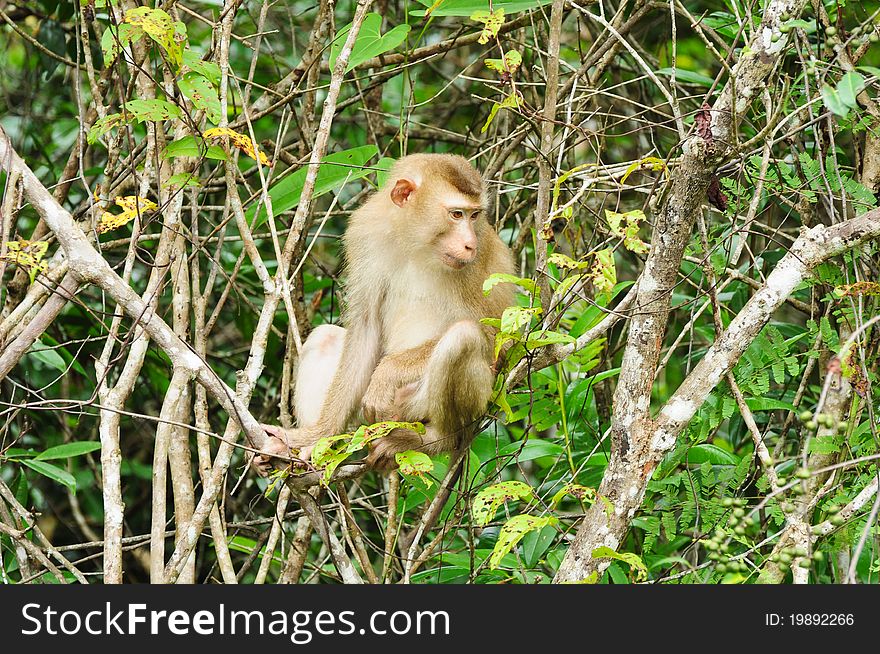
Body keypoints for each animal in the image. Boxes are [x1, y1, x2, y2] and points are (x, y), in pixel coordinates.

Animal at [251, 154, 516, 476]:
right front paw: (314, 437)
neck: (417, 242)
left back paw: (434, 439)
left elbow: (495, 336)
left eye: (474, 216)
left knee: (463, 337)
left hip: (415, 406)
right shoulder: (365, 233)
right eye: (456, 214)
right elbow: (365, 326)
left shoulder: (480, 259)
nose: (469, 243)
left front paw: (387, 373)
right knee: (326, 336)